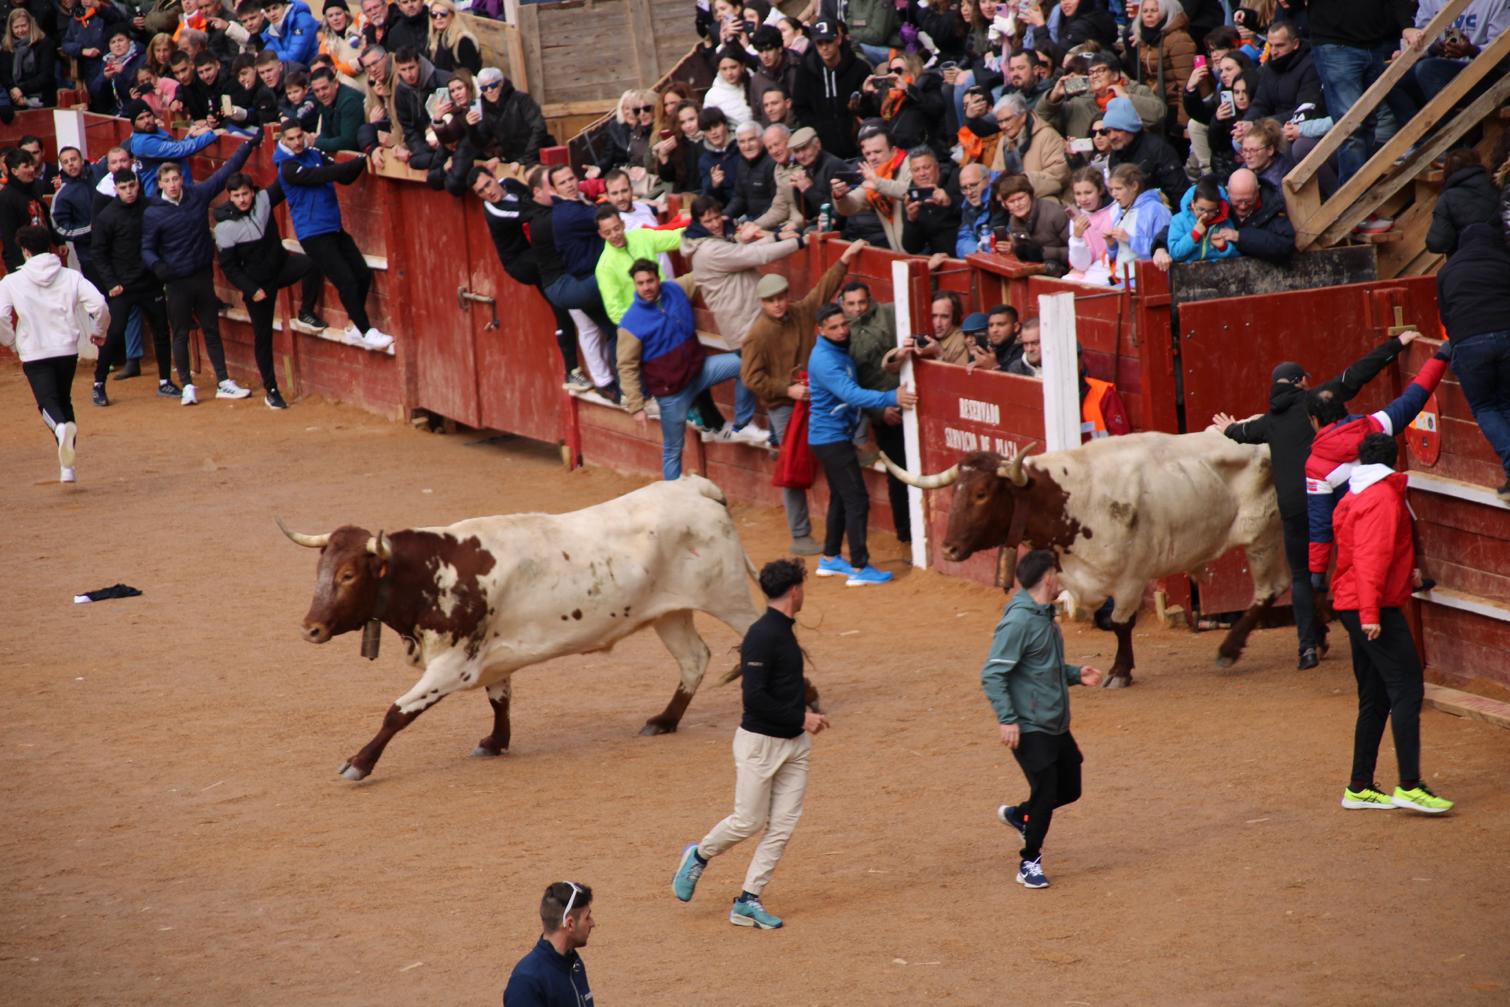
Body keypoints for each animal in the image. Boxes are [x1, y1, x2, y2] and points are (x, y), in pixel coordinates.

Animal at [282, 480, 767, 779]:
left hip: (728, 599)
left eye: (348, 575)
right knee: (694, 660)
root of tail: (694, 487)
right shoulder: (491, 659)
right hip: (669, 614)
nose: (310, 629)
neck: (430, 571)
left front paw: (359, 763)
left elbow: (398, 712)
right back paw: (664, 721)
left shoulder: (452, 666)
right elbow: (499, 699)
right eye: (320, 570)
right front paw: (496, 742)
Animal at [881, 428, 1286, 688]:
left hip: (1261, 536)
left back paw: (1229, 649)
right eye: (957, 491)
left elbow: (1121, 624)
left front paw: (1120, 671)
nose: (948, 549)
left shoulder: (1133, 578)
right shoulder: (1066, 573)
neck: (1071, 498)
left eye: (982, 493)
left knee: (1268, 590)